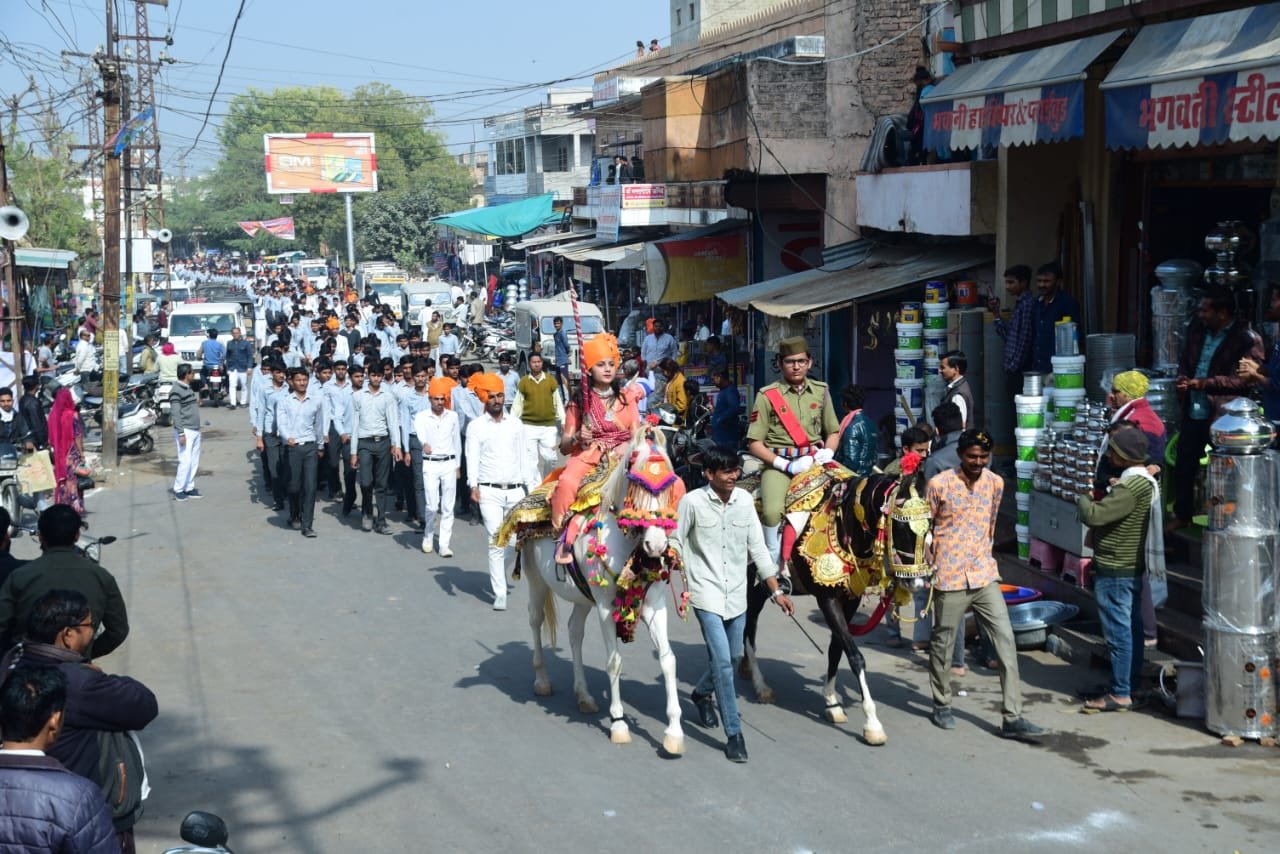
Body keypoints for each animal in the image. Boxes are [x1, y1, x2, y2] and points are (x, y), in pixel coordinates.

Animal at [505, 429, 688, 754]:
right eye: (635, 481)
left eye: (670, 486)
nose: (656, 545)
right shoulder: (606, 607)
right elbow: (614, 662)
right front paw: (618, 724)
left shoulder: (654, 606)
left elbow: (668, 659)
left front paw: (674, 733)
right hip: (536, 578)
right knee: (536, 619)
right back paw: (542, 680)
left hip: (582, 596)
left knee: (574, 630)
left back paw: (584, 695)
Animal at [741, 465, 933, 746]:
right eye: (899, 527)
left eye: (930, 526)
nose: (919, 581)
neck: (846, 527)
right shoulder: (827, 599)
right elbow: (855, 657)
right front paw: (872, 724)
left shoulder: (849, 600)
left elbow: (836, 650)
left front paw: (832, 703)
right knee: (748, 617)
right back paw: (759, 684)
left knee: (750, 610)